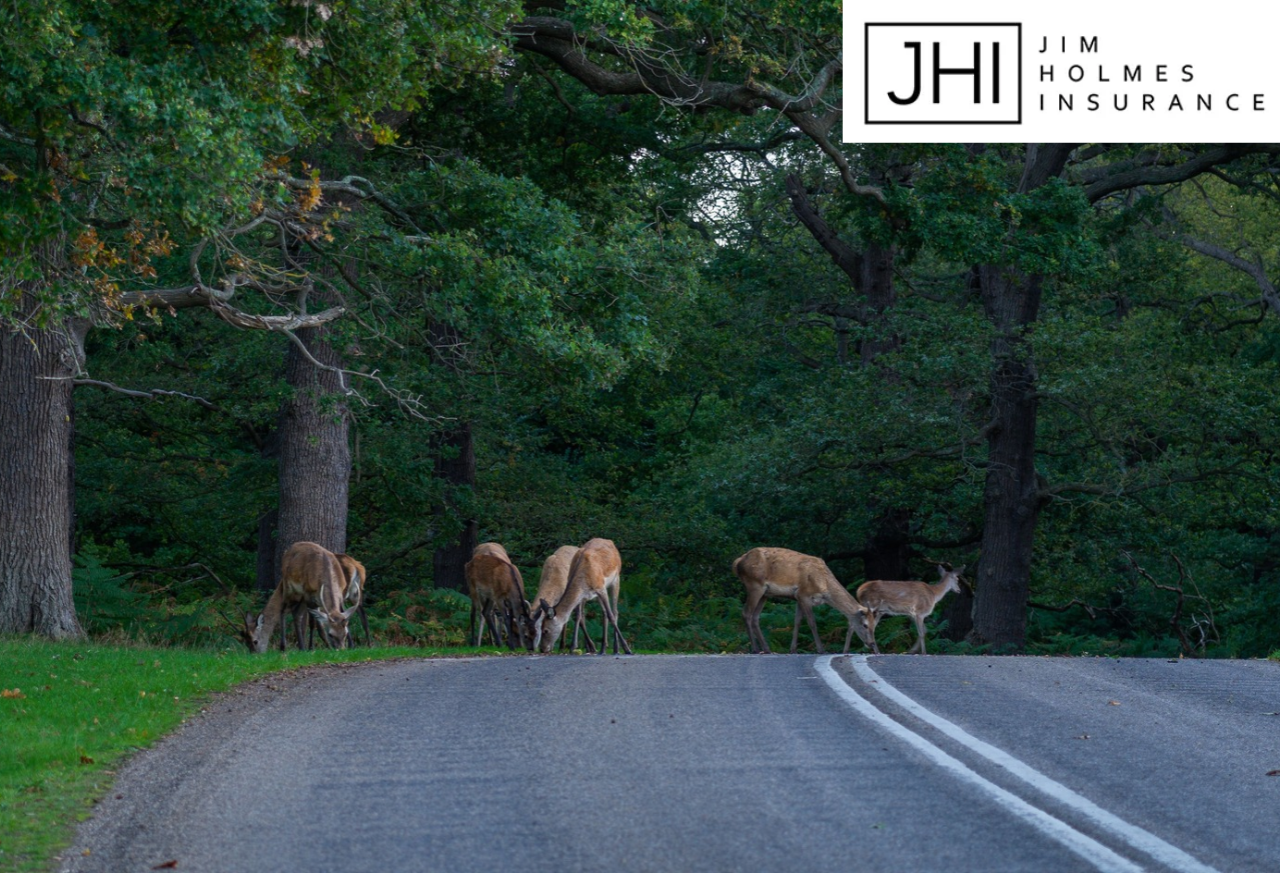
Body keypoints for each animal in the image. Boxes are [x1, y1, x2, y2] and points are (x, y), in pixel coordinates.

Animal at [733, 547, 875, 655]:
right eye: (865, 625)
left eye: (875, 625)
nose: (872, 643)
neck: (824, 585)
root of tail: (737, 562)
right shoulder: (803, 594)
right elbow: (812, 622)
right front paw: (821, 649)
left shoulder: (797, 597)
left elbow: (797, 621)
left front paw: (793, 649)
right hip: (755, 586)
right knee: (746, 613)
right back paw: (756, 649)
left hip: (765, 593)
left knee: (755, 617)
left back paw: (766, 649)